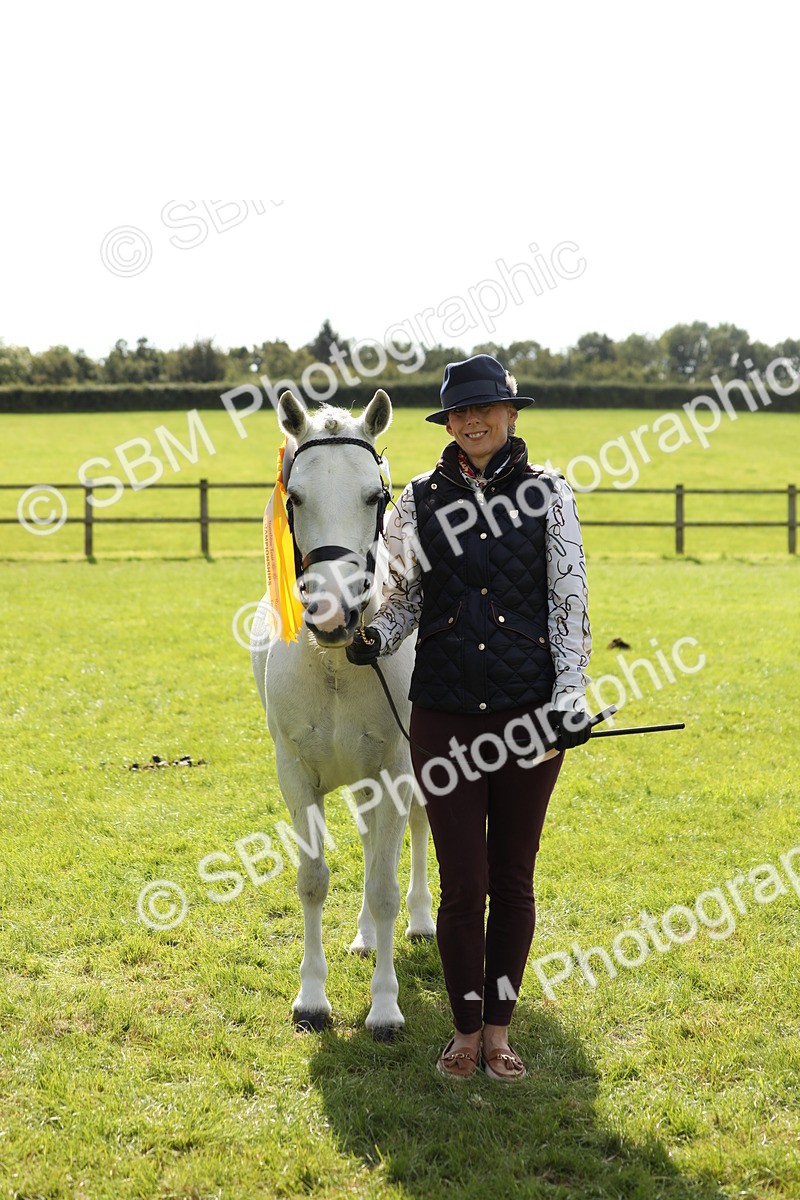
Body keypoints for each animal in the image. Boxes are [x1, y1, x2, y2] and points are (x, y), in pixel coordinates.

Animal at [251, 388, 436, 1040]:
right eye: (296, 497)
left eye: (374, 496)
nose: (332, 614)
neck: (333, 661)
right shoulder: (296, 775)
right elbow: (313, 880)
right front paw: (311, 1000)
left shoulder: (397, 769)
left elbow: (383, 885)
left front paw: (384, 1008)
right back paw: (363, 937)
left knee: (415, 831)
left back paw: (421, 922)